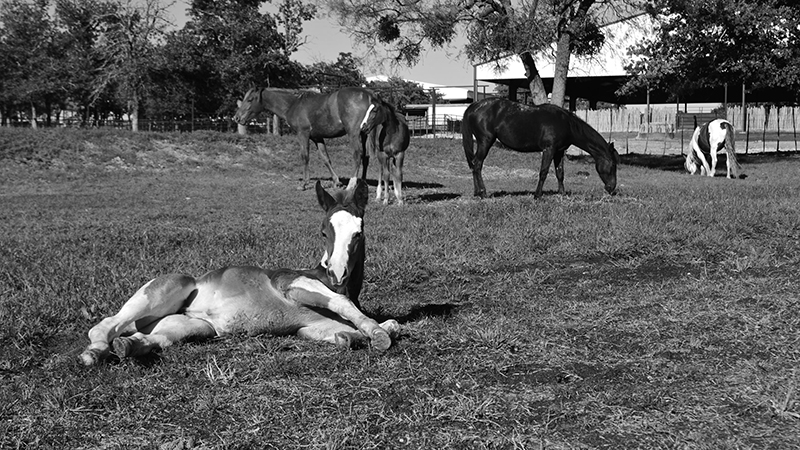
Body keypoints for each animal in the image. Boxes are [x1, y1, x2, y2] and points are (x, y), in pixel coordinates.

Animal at [79, 180, 399, 366]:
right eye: (323, 232)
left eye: (358, 233)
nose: (337, 273)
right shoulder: (291, 283)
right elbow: (349, 308)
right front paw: (376, 334)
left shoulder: (311, 327)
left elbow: (384, 325)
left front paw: (356, 335)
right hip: (166, 289)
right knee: (105, 325)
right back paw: (93, 352)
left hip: (191, 326)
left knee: (154, 339)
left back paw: (127, 346)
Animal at [233, 87, 390, 190]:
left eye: (250, 99)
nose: (237, 118)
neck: (293, 104)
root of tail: (369, 94)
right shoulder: (317, 137)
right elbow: (325, 158)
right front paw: (336, 181)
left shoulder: (303, 134)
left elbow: (305, 157)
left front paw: (304, 183)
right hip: (364, 134)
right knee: (365, 158)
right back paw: (362, 181)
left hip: (354, 134)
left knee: (358, 156)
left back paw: (352, 184)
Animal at [461, 98, 619, 199]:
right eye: (613, 165)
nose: (611, 188)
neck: (567, 123)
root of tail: (475, 106)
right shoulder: (549, 150)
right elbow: (543, 172)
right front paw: (537, 195)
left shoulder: (559, 151)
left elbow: (560, 173)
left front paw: (562, 193)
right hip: (485, 142)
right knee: (478, 165)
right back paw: (483, 192)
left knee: (475, 165)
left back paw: (477, 192)